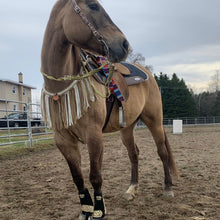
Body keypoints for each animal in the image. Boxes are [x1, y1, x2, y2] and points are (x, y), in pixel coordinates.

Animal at [40, 0, 179, 219]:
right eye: (93, 6)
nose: (124, 45)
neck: (60, 88)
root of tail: (148, 74)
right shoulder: (63, 140)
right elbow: (78, 178)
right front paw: (85, 211)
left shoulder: (94, 135)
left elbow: (95, 176)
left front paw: (98, 211)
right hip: (127, 128)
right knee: (134, 154)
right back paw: (132, 189)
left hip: (154, 121)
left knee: (162, 152)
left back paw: (167, 189)